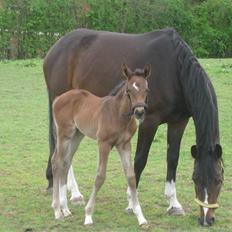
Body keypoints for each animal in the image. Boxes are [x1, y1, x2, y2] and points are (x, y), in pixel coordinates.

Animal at [50, 63, 150, 225]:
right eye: (129, 90)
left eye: (146, 89)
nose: (139, 111)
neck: (117, 114)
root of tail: (58, 98)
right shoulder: (104, 144)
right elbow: (100, 176)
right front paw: (88, 215)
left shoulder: (124, 144)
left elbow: (131, 177)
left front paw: (140, 217)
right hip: (64, 135)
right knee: (56, 162)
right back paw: (57, 211)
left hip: (77, 136)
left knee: (65, 162)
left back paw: (65, 209)